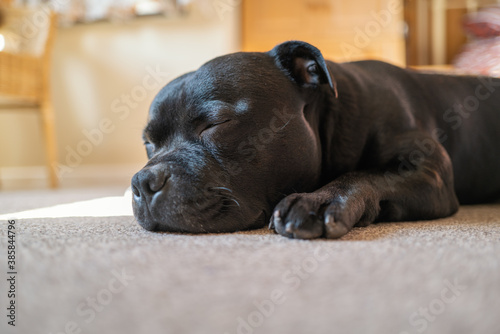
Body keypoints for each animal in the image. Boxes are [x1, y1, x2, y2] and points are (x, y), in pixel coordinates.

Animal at [130, 40, 500, 239]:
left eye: (216, 123)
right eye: (148, 143)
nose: (142, 183)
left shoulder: (429, 170)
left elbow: (365, 174)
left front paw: (320, 200)